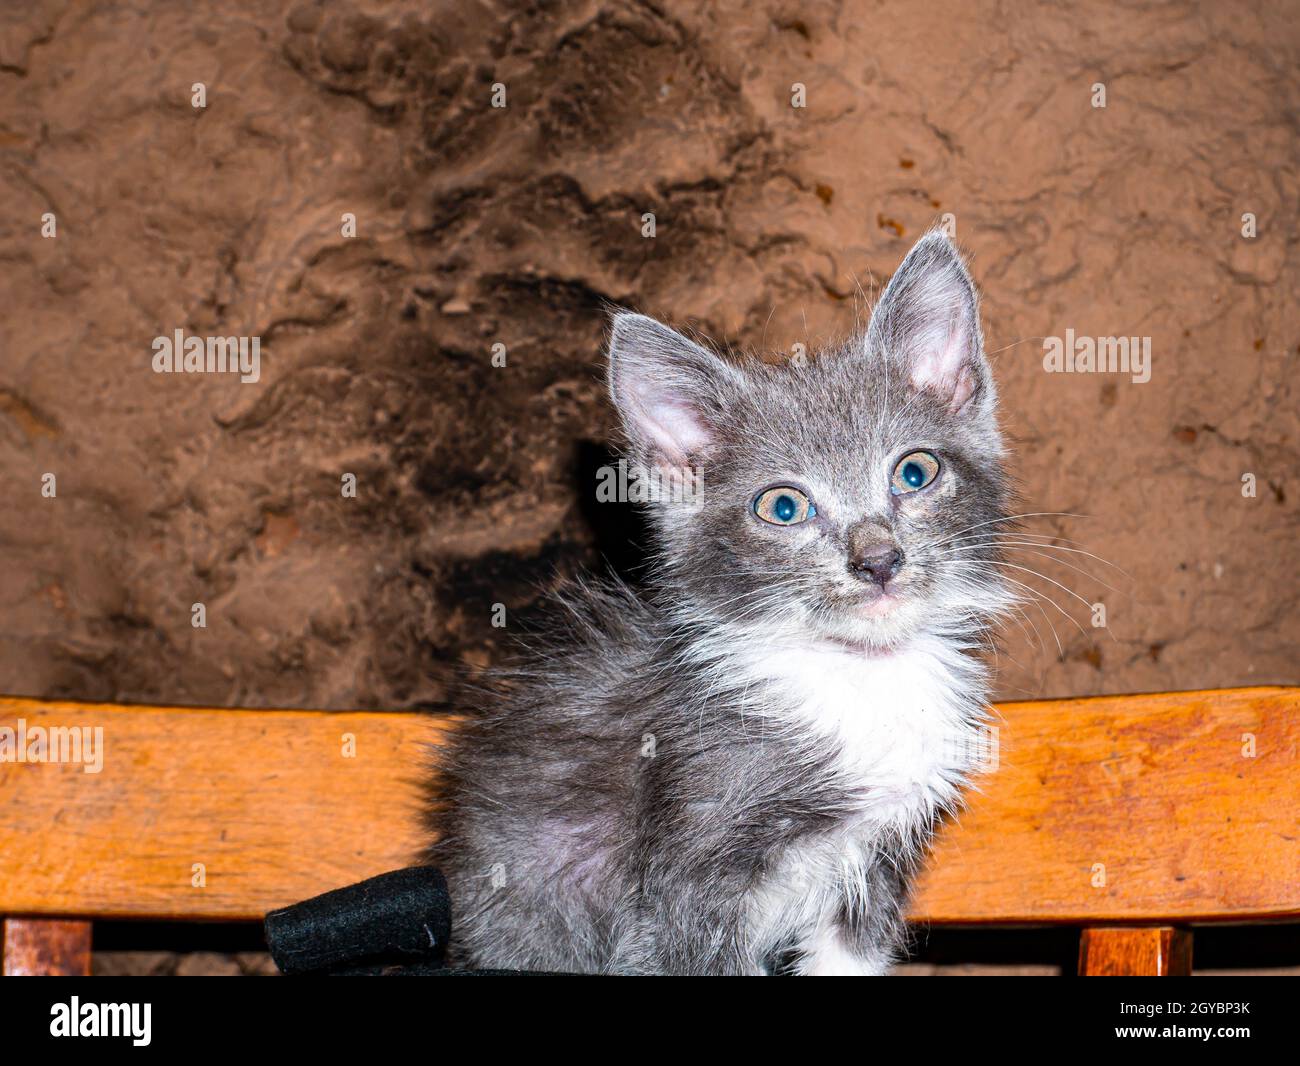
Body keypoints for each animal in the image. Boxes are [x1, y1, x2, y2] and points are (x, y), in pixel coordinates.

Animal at [426, 231, 1013, 972]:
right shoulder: (681, 883)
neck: (856, 675)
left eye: (916, 472)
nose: (877, 561)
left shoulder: (875, 856)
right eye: (784, 507)